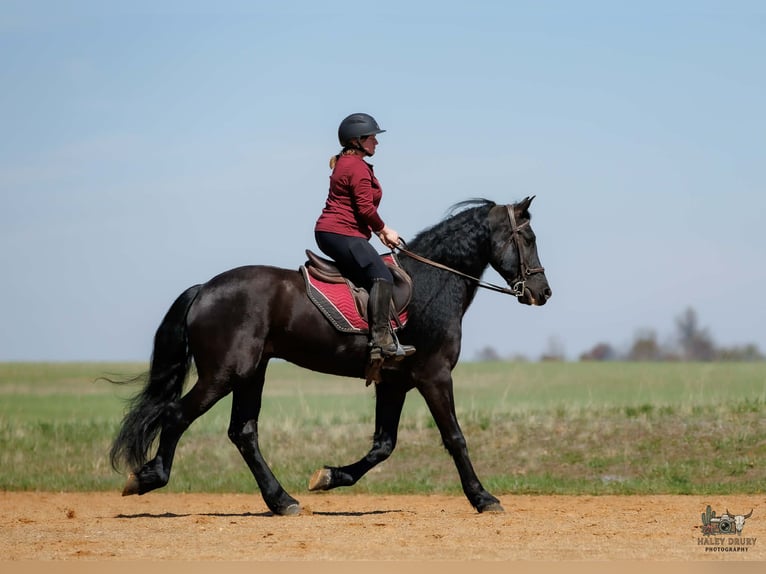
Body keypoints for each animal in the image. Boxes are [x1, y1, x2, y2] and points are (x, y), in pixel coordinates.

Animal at [109, 196, 552, 515]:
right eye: (529, 239)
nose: (542, 293)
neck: (433, 282)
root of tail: (204, 289)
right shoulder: (434, 375)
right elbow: (455, 437)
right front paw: (483, 498)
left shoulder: (395, 384)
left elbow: (383, 445)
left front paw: (327, 476)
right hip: (223, 374)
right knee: (177, 415)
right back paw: (148, 478)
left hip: (251, 374)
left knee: (243, 433)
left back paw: (282, 501)